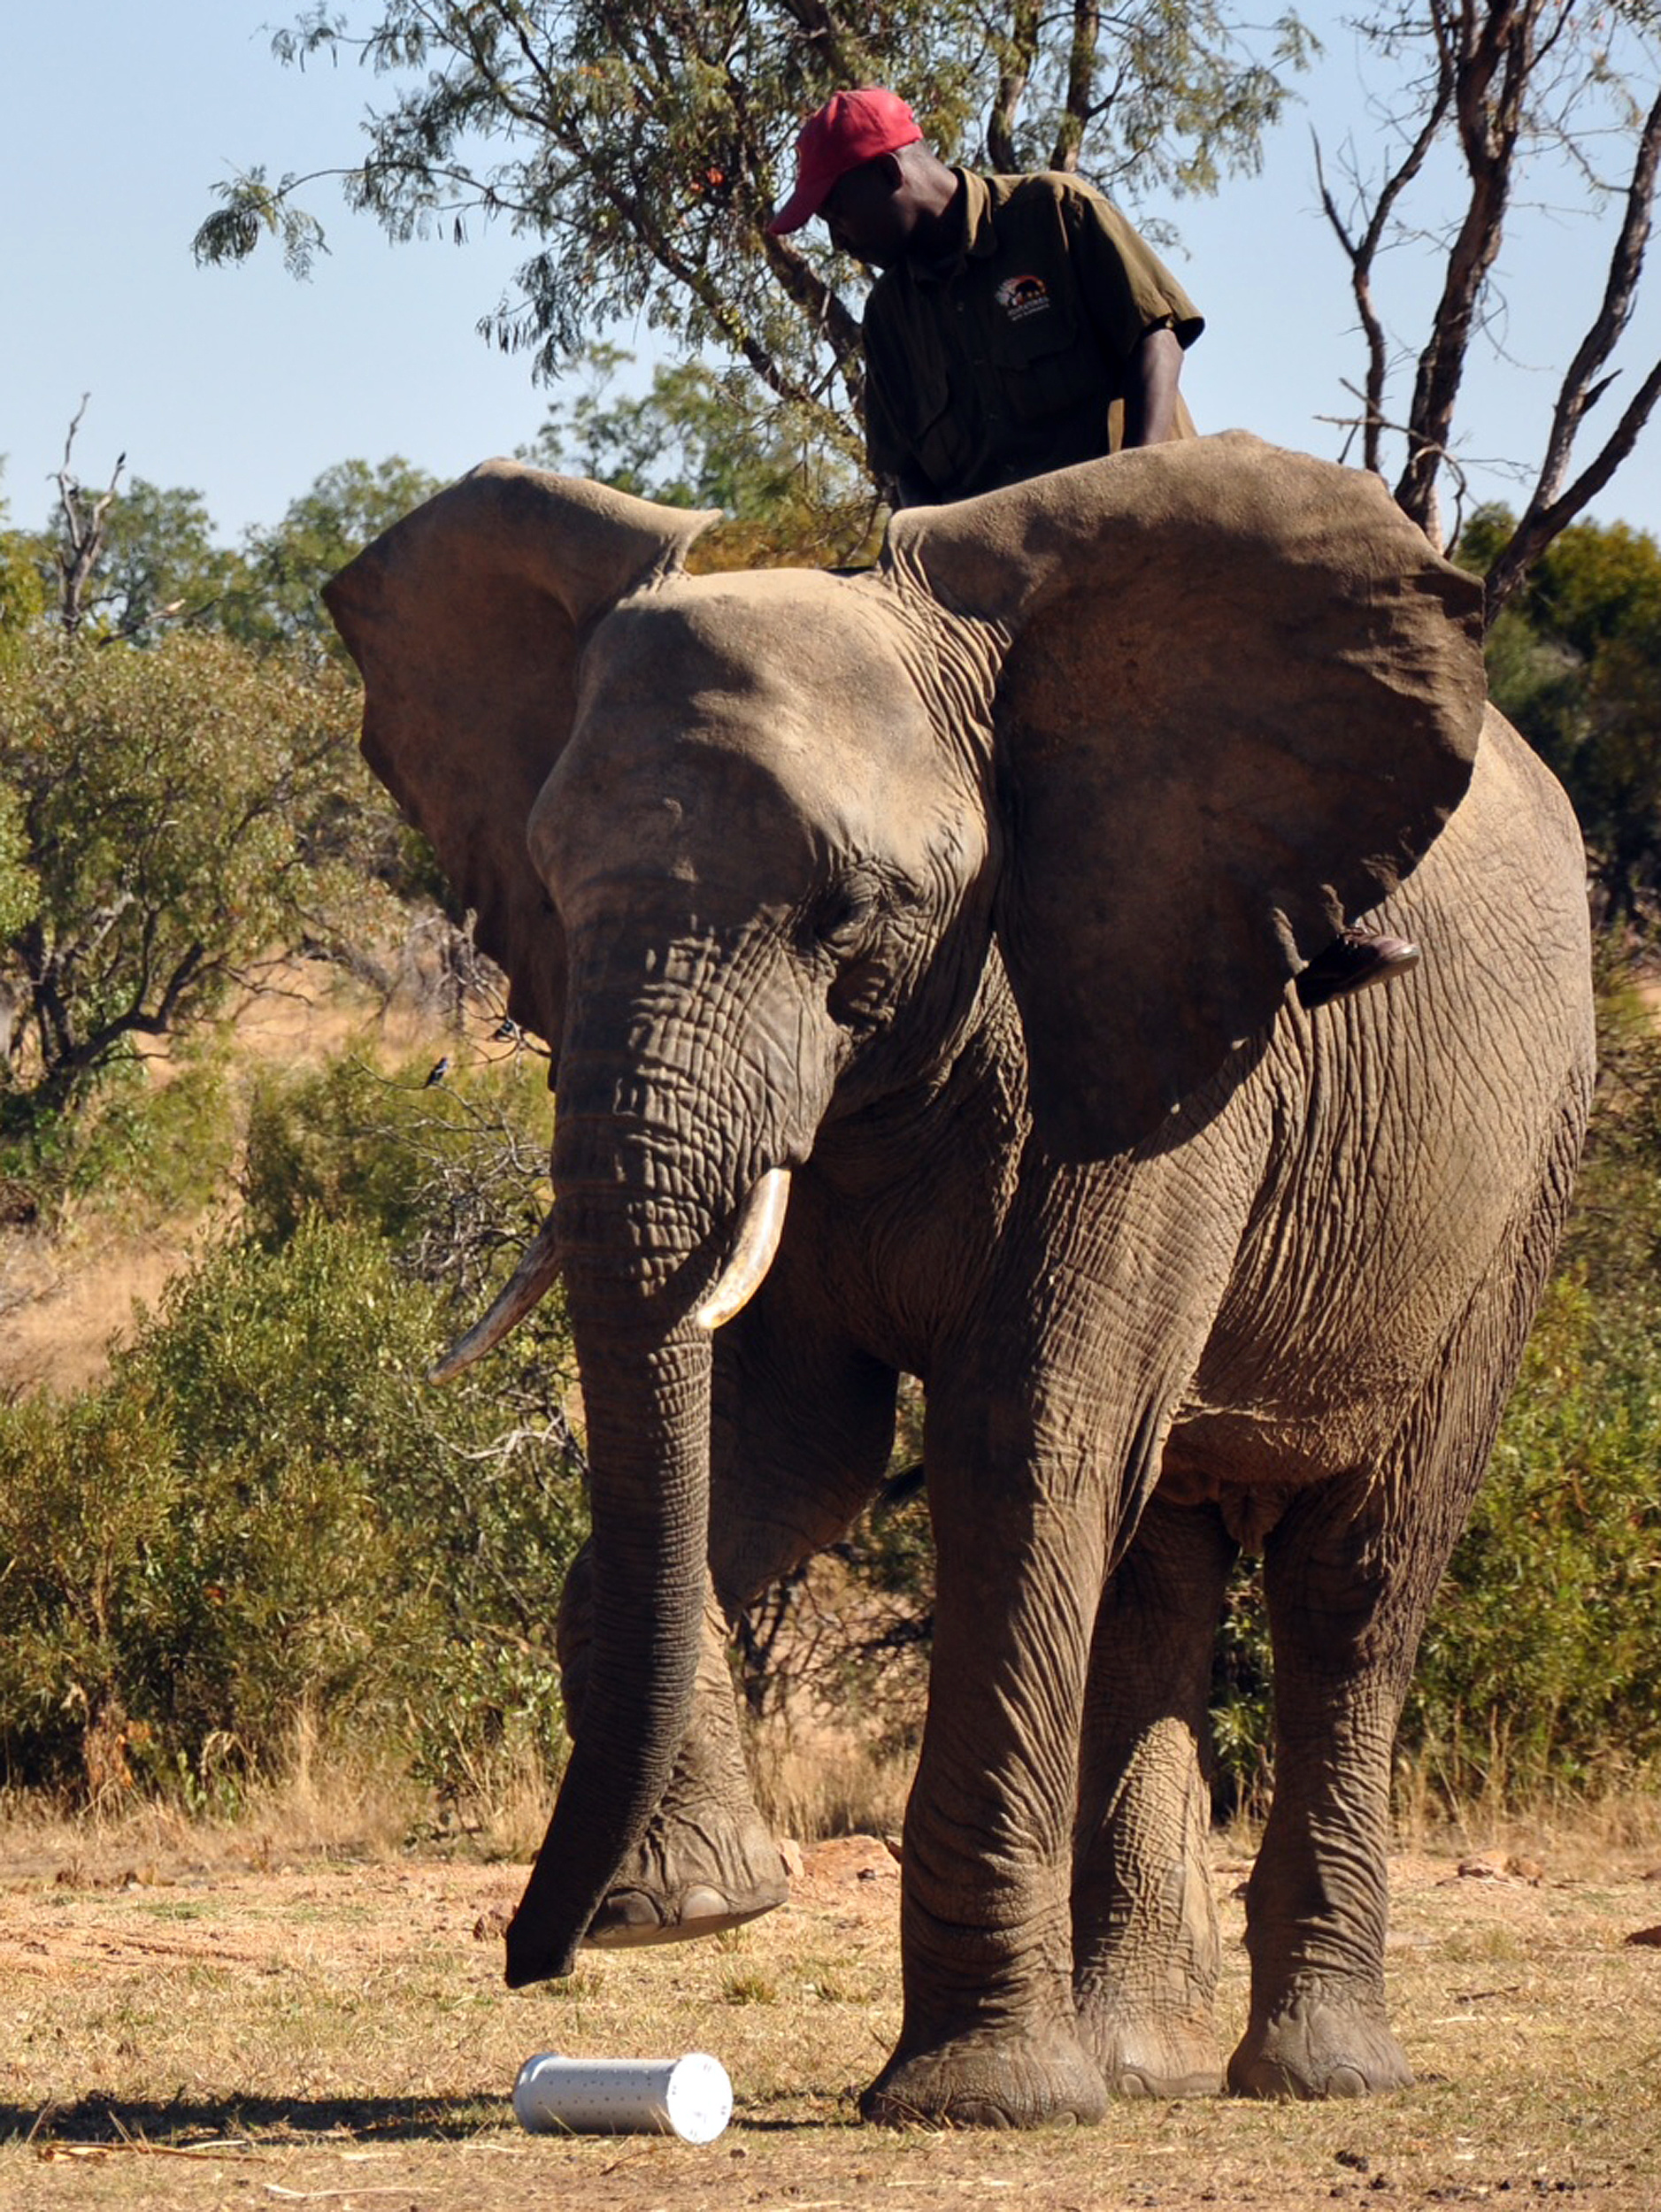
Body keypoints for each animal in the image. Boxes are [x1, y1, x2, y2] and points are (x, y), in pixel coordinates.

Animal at [324, 433, 1594, 2128]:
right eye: (546, 883)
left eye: (847, 917)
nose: (539, 1956)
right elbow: (782, 1454)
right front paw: (696, 1907)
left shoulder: (1152, 1035)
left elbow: (1020, 1444)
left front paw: (979, 2099)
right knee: (1157, 1568)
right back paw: (1138, 2063)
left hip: (1518, 1178)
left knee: (1355, 1573)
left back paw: (1314, 2077)